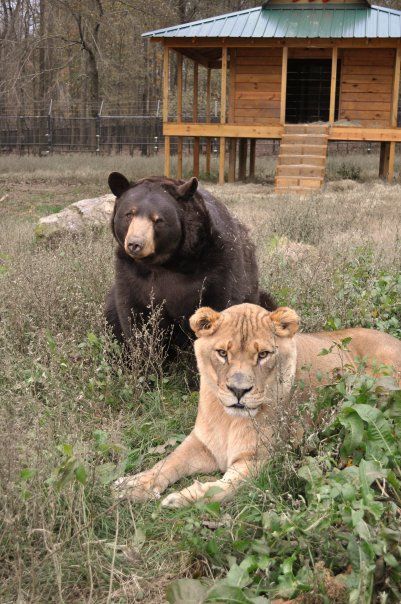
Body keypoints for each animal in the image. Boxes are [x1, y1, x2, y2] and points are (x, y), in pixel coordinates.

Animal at [106, 170, 276, 350]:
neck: (167, 262)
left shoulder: (218, 266)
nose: (135, 244)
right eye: (129, 214)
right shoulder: (130, 271)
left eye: (158, 219)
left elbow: (222, 304)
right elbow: (135, 316)